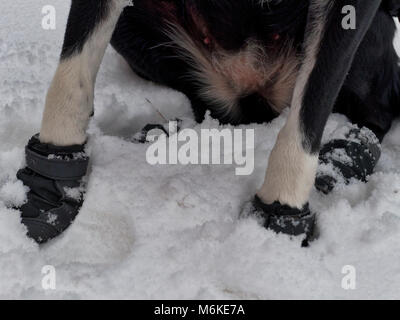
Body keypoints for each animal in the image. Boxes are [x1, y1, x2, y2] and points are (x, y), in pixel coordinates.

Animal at [13, 0, 400, 245]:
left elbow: (313, 101)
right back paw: (164, 135)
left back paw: (344, 158)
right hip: (134, 27)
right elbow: (72, 72)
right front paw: (52, 177)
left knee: (375, 113)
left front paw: (280, 212)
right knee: (211, 110)